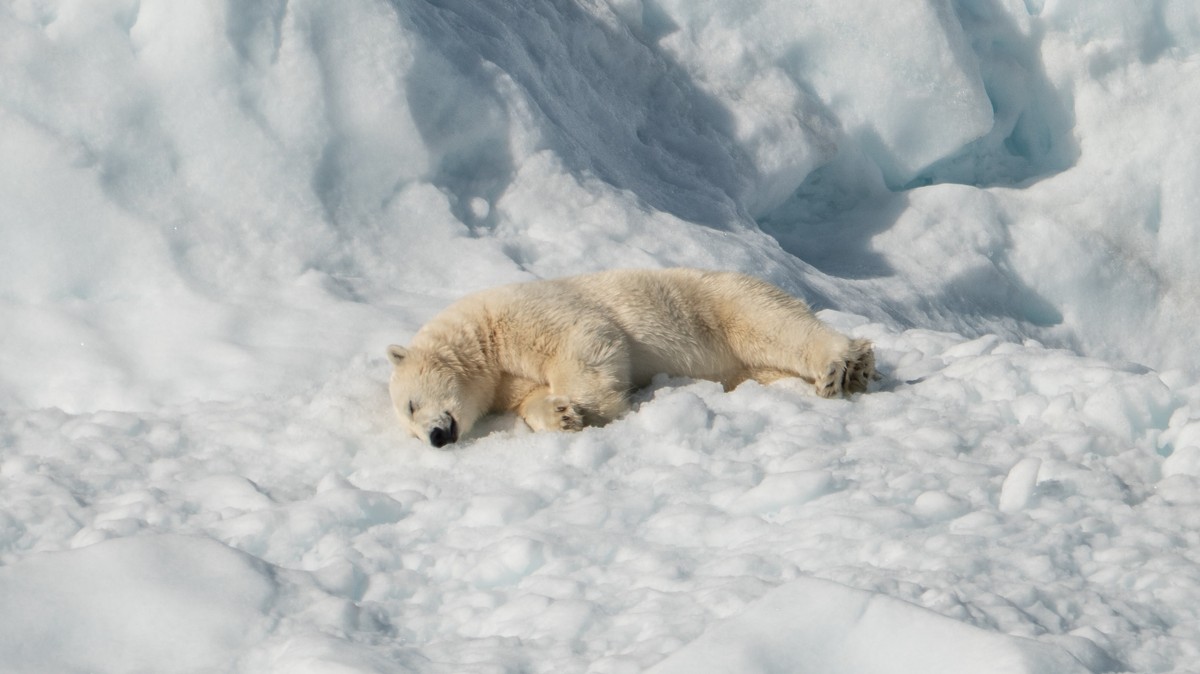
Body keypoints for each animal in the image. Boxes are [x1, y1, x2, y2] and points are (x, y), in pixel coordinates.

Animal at [388, 267, 878, 446]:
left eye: (411, 405)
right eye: (410, 425)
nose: (436, 437)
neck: (480, 338)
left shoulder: (522, 313)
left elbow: (584, 337)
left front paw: (594, 408)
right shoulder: (505, 382)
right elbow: (529, 398)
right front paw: (561, 415)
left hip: (717, 300)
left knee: (772, 324)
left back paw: (843, 365)